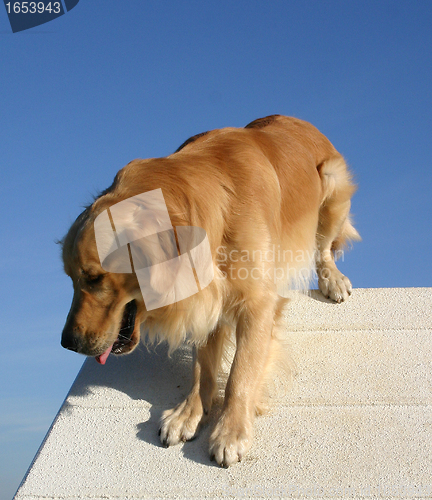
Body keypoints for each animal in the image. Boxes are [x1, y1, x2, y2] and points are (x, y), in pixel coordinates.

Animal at [60, 115, 358, 466]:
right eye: (70, 277)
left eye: (93, 278)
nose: (67, 343)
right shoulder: (208, 295)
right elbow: (202, 365)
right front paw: (190, 413)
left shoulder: (257, 301)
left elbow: (241, 371)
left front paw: (231, 430)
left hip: (332, 184)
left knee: (323, 247)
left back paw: (332, 278)